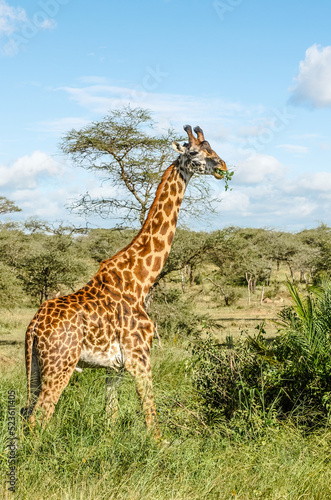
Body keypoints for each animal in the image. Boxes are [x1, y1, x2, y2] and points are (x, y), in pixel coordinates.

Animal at [20, 125, 228, 438]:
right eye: (193, 153)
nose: (223, 166)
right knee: (39, 417)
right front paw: (160, 445)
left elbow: (111, 415)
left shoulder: (114, 367)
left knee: (26, 412)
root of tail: (34, 326)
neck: (140, 280)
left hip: (34, 366)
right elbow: (151, 414)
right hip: (61, 364)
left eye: (212, 148)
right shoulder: (139, 355)